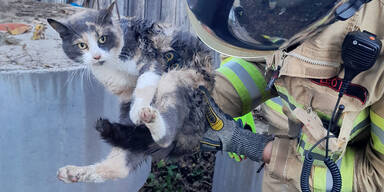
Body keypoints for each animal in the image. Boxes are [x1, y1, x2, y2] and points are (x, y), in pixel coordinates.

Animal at [47, 3, 214, 183]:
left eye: (102, 39)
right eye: (81, 45)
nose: (97, 56)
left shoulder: (152, 60)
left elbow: (145, 83)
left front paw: (138, 111)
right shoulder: (122, 88)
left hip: (177, 78)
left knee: (166, 137)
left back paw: (148, 116)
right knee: (120, 165)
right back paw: (72, 173)